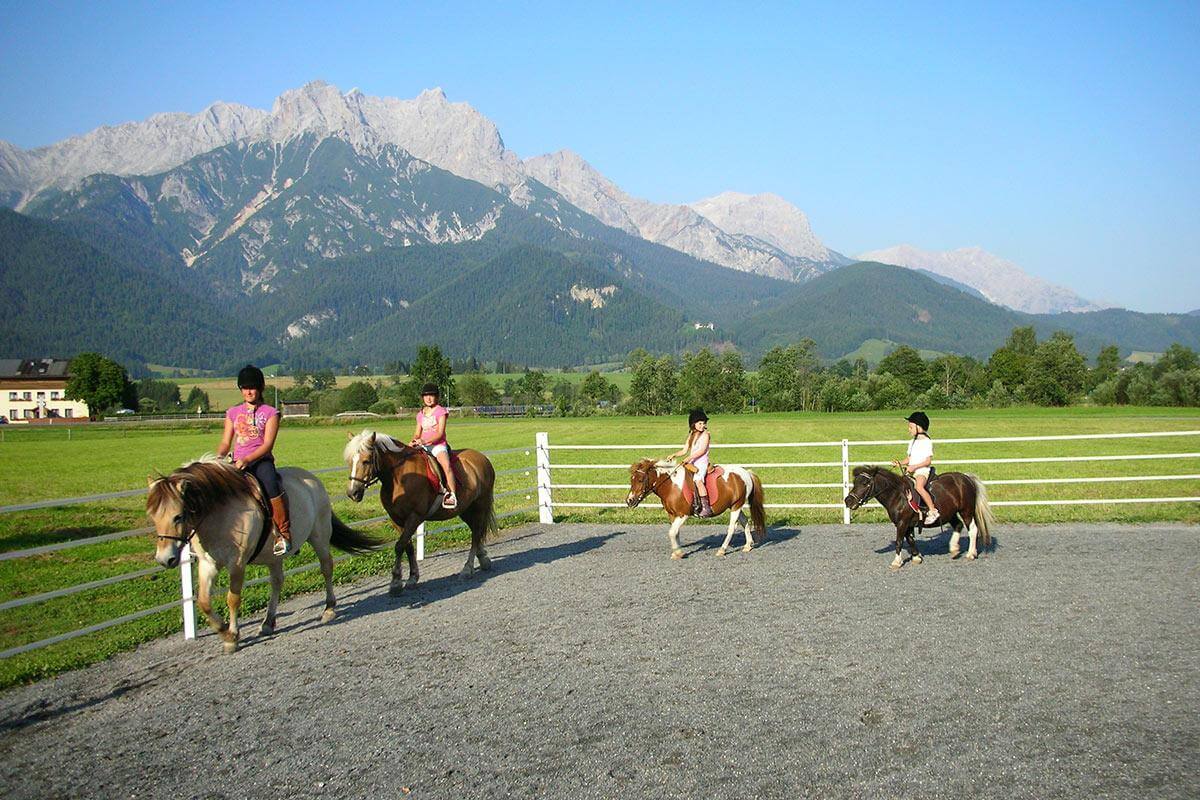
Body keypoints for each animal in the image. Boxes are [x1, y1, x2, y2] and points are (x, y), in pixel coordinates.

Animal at [147, 457, 382, 653]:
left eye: (178, 516)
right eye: (153, 516)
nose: (164, 559)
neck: (220, 513)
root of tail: (313, 480)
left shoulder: (237, 563)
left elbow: (233, 598)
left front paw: (233, 636)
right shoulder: (208, 564)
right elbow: (204, 602)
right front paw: (224, 631)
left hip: (320, 537)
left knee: (326, 568)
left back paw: (329, 609)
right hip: (273, 556)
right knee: (277, 582)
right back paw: (268, 622)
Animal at [344, 430, 498, 596]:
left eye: (366, 461)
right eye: (350, 461)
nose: (353, 493)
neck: (399, 476)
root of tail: (482, 458)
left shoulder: (415, 517)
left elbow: (399, 546)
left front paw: (396, 582)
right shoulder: (397, 519)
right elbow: (408, 546)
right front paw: (412, 577)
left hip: (480, 505)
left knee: (476, 534)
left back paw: (467, 568)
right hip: (465, 510)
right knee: (476, 530)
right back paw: (483, 559)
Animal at [626, 458, 766, 559]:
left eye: (640, 479)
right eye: (631, 479)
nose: (629, 500)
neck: (672, 485)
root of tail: (746, 473)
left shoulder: (683, 514)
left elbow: (671, 532)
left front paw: (678, 553)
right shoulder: (672, 515)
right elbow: (675, 532)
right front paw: (677, 551)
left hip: (736, 506)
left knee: (732, 527)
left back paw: (722, 550)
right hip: (735, 506)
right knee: (745, 521)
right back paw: (748, 545)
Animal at [844, 465, 995, 569]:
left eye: (865, 483)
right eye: (855, 483)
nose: (848, 501)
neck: (898, 495)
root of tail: (966, 478)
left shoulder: (902, 522)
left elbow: (899, 541)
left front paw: (897, 562)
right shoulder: (907, 523)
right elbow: (910, 539)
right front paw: (917, 557)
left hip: (966, 511)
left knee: (972, 530)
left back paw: (971, 554)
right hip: (950, 513)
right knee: (958, 525)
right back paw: (954, 549)